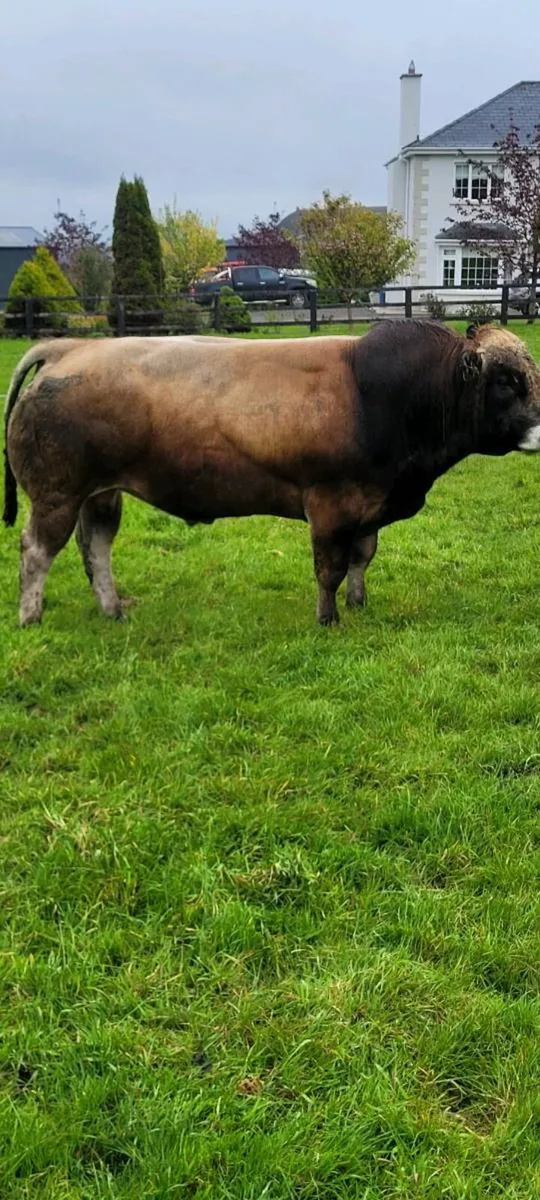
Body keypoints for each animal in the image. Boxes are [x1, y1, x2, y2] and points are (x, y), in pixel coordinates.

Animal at [3, 320, 540, 629]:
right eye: (506, 380)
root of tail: (70, 347)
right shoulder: (329, 505)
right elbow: (330, 569)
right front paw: (329, 619)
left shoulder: (369, 507)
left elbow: (362, 559)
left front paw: (359, 602)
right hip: (56, 494)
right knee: (37, 551)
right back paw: (31, 616)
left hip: (99, 493)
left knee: (95, 548)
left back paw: (112, 610)